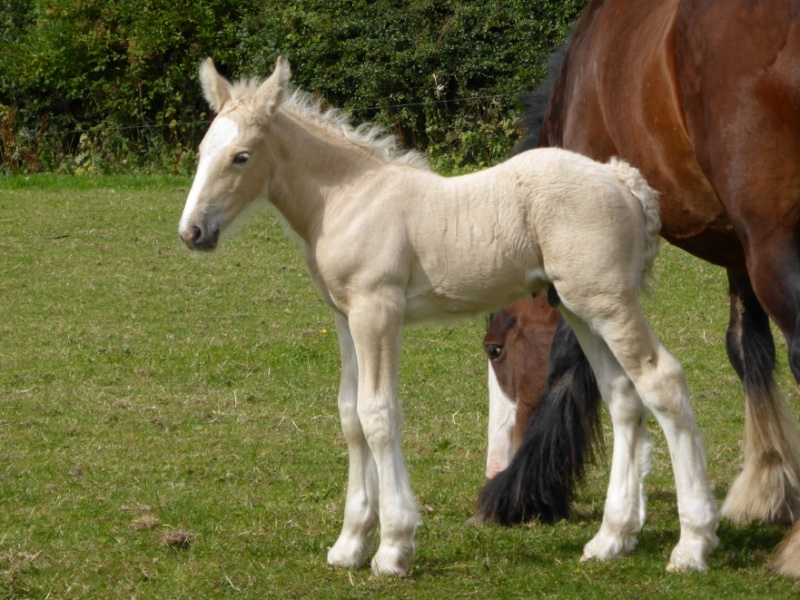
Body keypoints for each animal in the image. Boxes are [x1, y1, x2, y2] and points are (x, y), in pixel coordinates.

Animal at [178, 57, 716, 576]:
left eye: (241, 156)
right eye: (203, 150)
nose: (192, 232)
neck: (347, 200)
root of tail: (622, 180)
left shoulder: (377, 311)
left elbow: (378, 414)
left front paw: (393, 548)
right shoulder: (345, 317)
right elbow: (350, 414)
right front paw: (350, 544)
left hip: (609, 302)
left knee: (663, 381)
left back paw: (692, 544)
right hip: (581, 308)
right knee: (622, 395)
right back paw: (612, 538)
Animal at [478, 0, 800, 576]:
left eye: (495, 350)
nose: (496, 466)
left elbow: (574, 363)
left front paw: (523, 489)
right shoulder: (736, 247)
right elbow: (747, 347)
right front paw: (767, 487)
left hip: (775, 244)